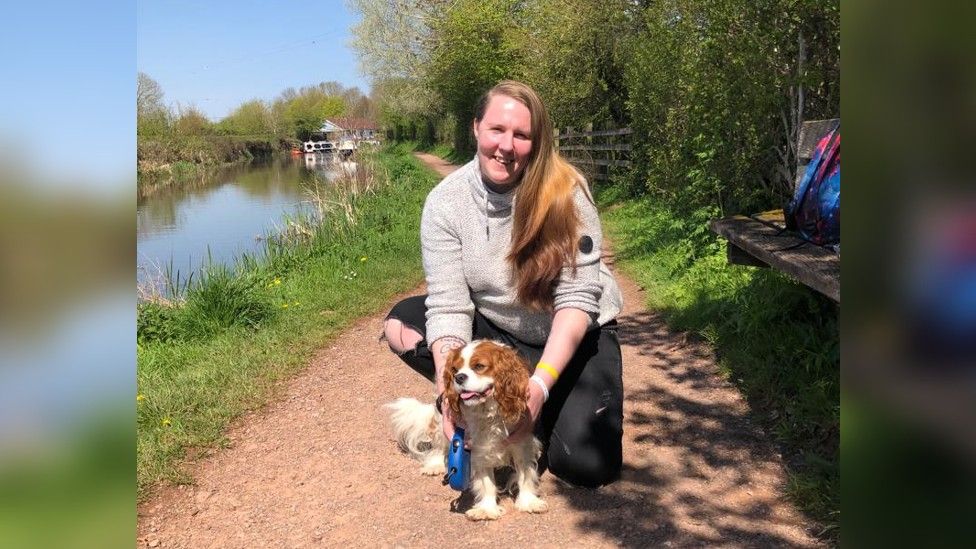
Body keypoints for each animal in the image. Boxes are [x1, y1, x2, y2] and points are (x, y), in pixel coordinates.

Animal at [386, 336, 548, 520]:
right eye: (455, 369)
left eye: (479, 366)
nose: (459, 377)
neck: (487, 412)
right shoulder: (477, 448)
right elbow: (486, 483)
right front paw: (487, 509)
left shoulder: (522, 443)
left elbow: (524, 475)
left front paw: (528, 502)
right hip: (443, 423)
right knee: (439, 446)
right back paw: (434, 465)